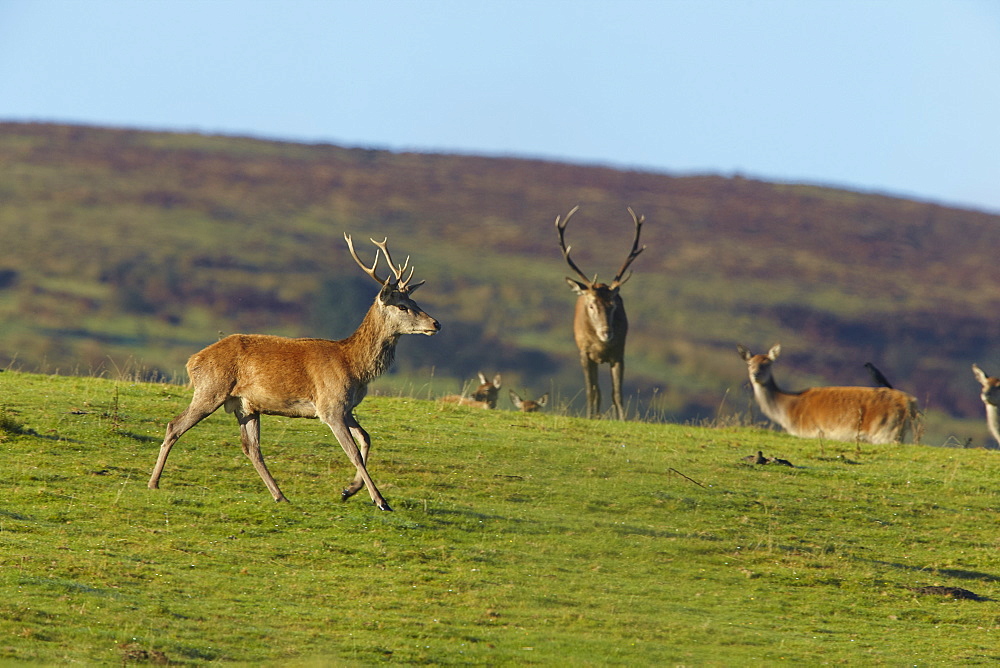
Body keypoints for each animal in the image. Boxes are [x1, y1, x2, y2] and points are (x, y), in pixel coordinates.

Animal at [147, 236, 442, 512]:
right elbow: (353, 452)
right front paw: (380, 500)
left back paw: (280, 495)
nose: (436, 323)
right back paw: (154, 482)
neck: (354, 367)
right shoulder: (330, 406)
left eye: (414, 300)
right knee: (175, 425)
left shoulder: (346, 408)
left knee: (251, 448)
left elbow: (366, 439)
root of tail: (192, 361)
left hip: (245, 405)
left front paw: (348, 490)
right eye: (402, 306)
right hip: (211, 389)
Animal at [556, 206, 648, 420]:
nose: (607, 333)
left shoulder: (619, 353)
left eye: (613, 304)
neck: (601, 346)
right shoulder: (584, 352)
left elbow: (617, 393)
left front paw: (622, 419)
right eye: (591, 305)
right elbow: (591, 391)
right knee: (596, 390)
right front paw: (590, 416)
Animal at [740, 344, 916, 444]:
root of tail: (910, 402)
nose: (755, 374)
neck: (789, 411)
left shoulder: (809, 432)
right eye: (749, 363)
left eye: (768, 363)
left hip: (886, 432)